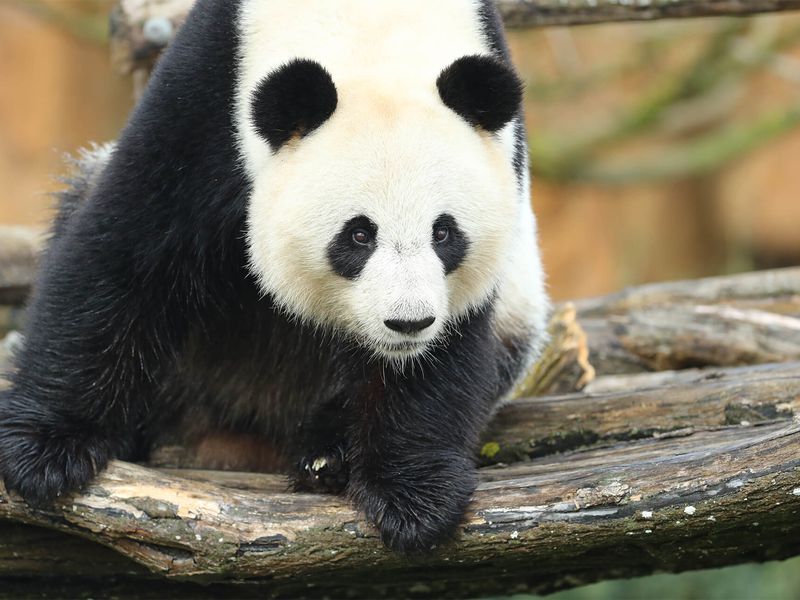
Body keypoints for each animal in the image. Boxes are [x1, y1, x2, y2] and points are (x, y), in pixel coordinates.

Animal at [0, 1, 552, 552]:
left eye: (443, 232)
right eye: (358, 235)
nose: (407, 323)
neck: (372, 28)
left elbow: (448, 348)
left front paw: (413, 495)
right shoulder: (207, 93)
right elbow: (127, 251)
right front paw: (44, 449)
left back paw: (326, 453)